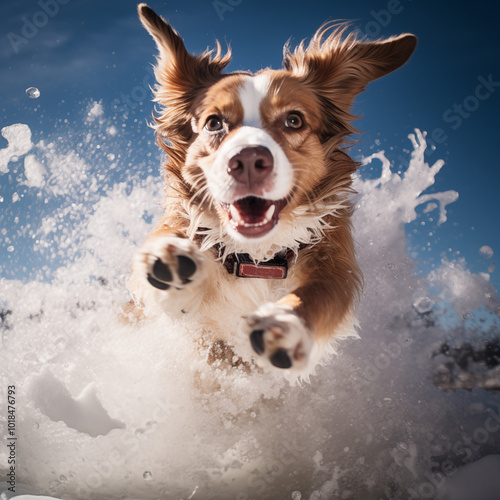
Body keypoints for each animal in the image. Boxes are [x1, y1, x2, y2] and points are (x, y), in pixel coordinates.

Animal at [128, 3, 414, 376]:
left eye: (294, 120)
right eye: (214, 122)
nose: (249, 160)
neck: (256, 256)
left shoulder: (336, 263)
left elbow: (321, 295)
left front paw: (286, 326)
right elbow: (167, 248)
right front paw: (171, 263)